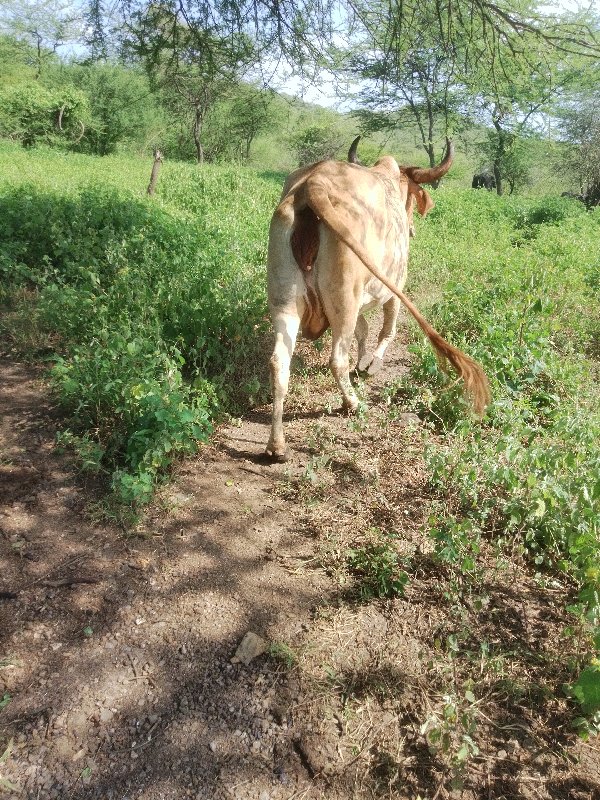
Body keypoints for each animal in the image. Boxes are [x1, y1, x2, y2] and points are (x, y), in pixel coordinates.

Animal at [264, 141, 490, 460]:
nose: (411, 228)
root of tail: (312, 185)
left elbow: (364, 331)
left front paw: (363, 361)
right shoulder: (396, 285)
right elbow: (387, 329)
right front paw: (373, 363)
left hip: (285, 301)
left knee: (279, 363)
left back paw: (277, 445)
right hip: (344, 297)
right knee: (337, 359)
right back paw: (353, 403)